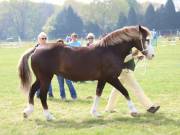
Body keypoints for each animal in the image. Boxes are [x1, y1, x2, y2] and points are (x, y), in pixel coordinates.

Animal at [18, 25, 154, 120]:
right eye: (146, 39)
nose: (152, 55)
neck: (110, 50)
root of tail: (37, 48)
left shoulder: (103, 79)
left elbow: (98, 94)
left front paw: (95, 113)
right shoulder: (111, 78)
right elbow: (125, 91)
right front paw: (134, 111)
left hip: (41, 78)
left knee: (32, 90)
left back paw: (27, 112)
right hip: (46, 78)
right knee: (42, 95)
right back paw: (49, 116)